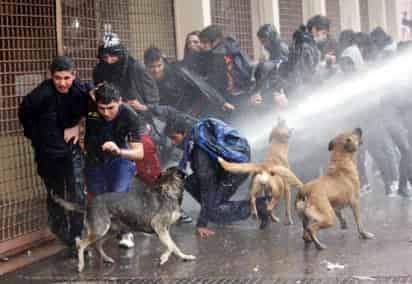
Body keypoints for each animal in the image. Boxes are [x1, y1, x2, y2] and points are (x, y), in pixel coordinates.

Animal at [52, 168, 196, 272]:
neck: (168, 190)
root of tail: (88, 205)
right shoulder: (159, 226)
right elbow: (171, 246)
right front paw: (164, 258)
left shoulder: (164, 230)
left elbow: (174, 246)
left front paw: (184, 257)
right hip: (100, 229)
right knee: (81, 244)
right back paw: (80, 265)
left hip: (110, 231)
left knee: (97, 245)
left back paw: (107, 259)